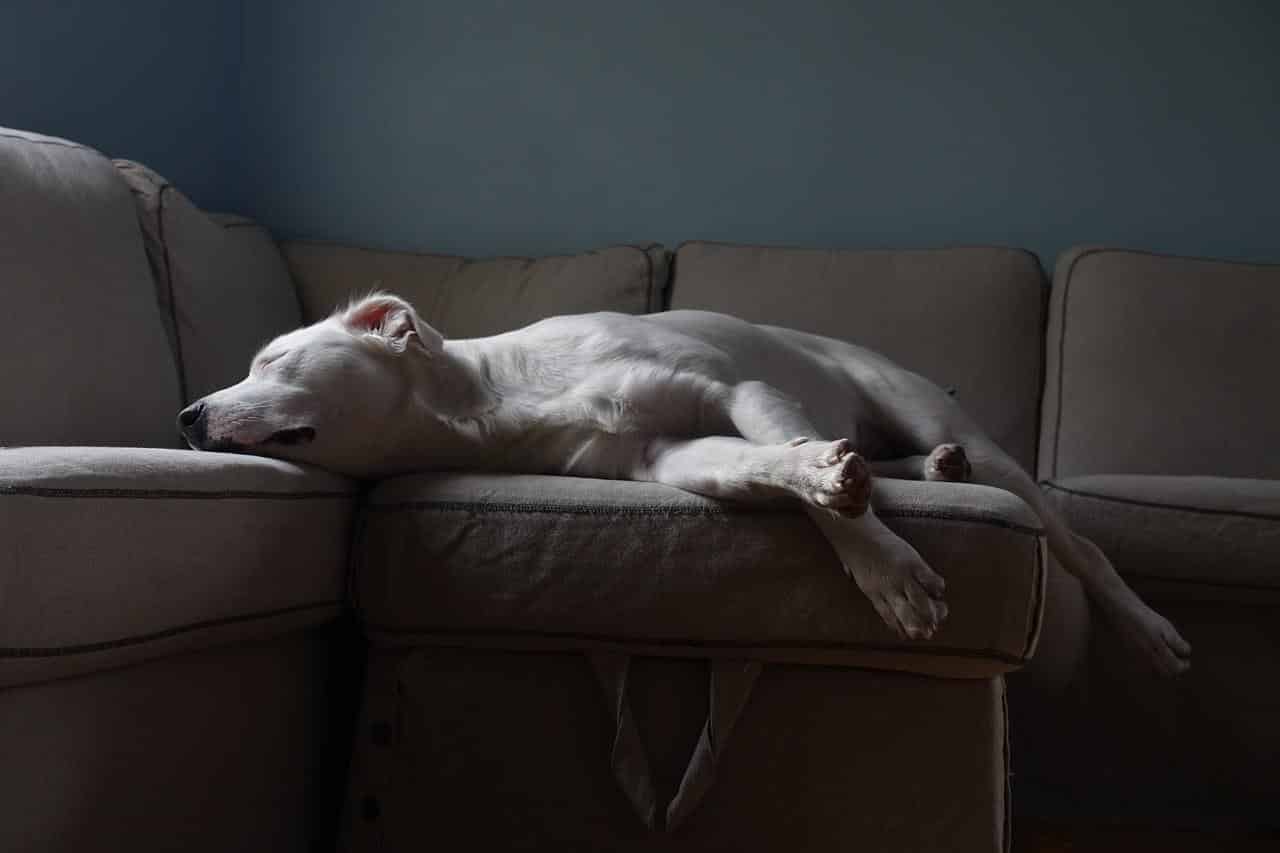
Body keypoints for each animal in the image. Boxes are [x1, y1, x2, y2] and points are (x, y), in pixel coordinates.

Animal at [177, 292, 1187, 671]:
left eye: (274, 360)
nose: (186, 415)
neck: (497, 396)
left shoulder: (734, 392)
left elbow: (817, 484)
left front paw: (887, 566)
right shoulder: (669, 457)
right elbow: (778, 468)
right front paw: (851, 512)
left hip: (949, 424)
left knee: (1080, 546)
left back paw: (1148, 628)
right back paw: (926, 472)